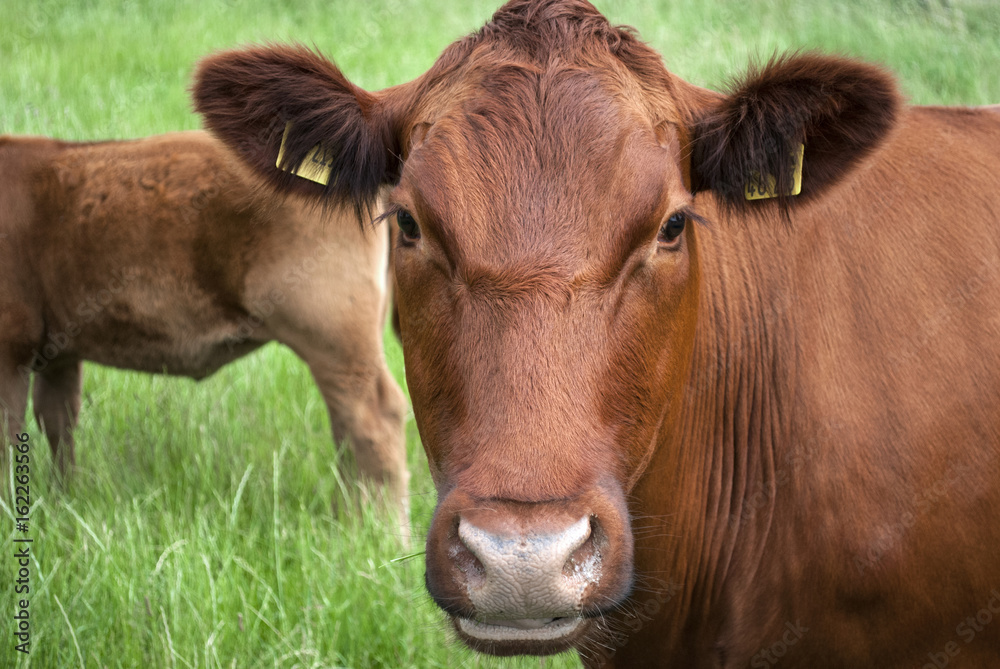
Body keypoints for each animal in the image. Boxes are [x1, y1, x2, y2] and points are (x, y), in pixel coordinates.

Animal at [0, 130, 408, 528]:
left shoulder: (11, 349)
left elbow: (9, 432)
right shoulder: (58, 354)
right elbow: (58, 422)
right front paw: (62, 500)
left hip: (334, 336)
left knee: (374, 419)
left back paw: (374, 531)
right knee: (348, 427)